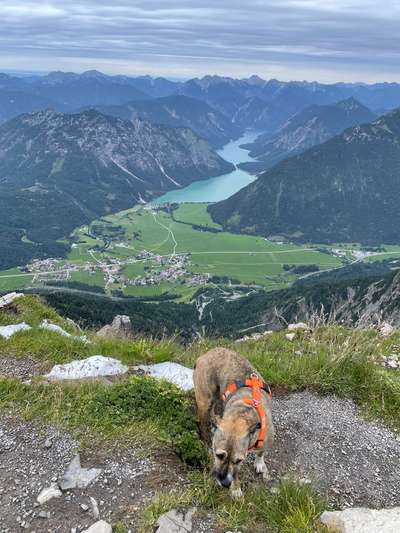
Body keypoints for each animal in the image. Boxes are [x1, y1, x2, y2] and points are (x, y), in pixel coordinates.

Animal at [194, 348, 276, 496]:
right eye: (219, 455)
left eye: (239, 460)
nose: (226, 484)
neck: (242, 413)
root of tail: (205, 354)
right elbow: (236, 474)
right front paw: (236, 489)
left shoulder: (268, 437)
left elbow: (261, 451)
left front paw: (259, 462)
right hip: (205, 401)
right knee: (203, 423)